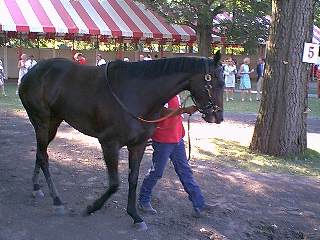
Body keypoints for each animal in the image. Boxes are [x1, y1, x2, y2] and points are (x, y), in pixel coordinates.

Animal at [19, 53, 225, 231]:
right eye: (217, 82)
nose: (218, 117)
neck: (136, 93)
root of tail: (32, 72)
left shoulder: (138, 145)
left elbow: (133, 179)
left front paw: (135, 216)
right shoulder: (109, 144)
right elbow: (115, 183)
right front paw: (91, 207)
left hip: (53, 122)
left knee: (40, 153)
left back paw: (36, 188)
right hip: (41, 121)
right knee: (44, 156)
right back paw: (57, 200)